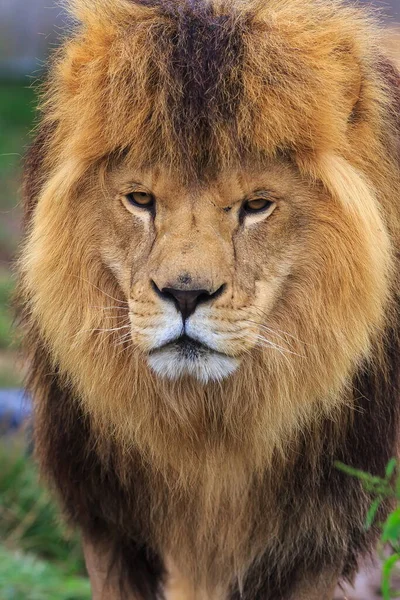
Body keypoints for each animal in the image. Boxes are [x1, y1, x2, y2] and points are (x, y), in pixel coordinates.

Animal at [17, 0, 400, 596]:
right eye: (140, 199)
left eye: (257, 205)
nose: (185, 294)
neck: (208, 433)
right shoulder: (108, 525)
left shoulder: (319, 535)